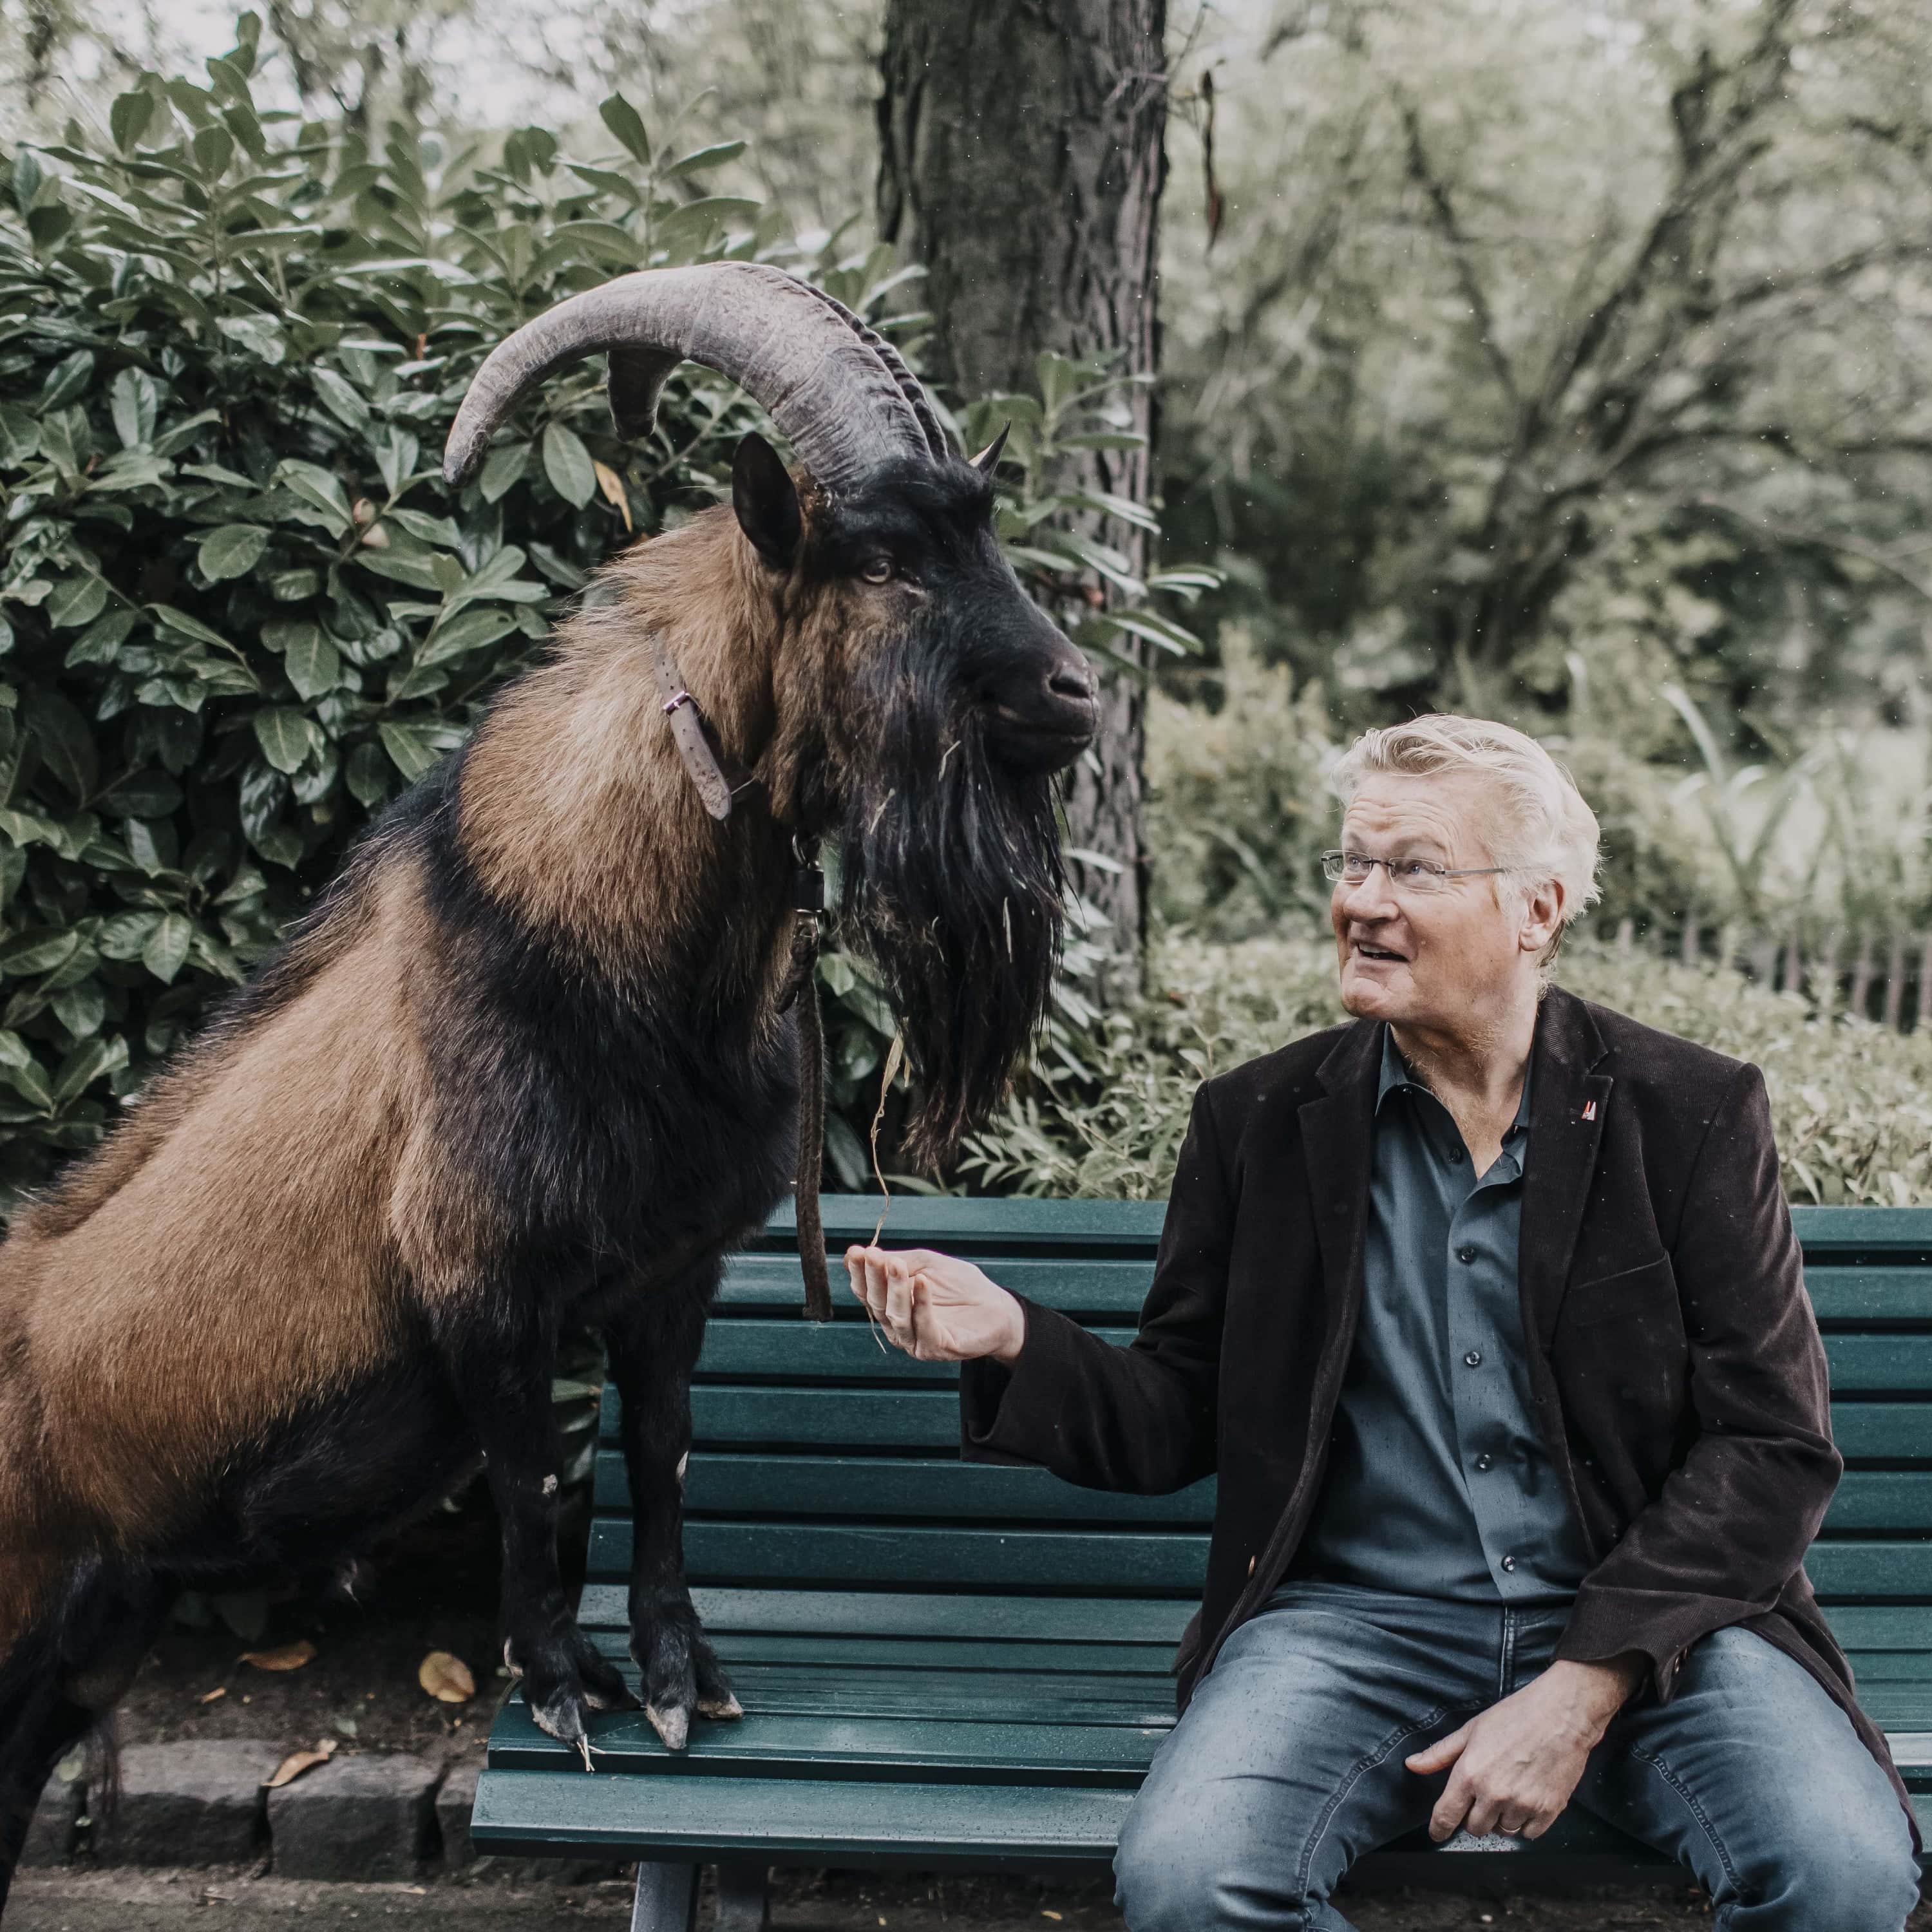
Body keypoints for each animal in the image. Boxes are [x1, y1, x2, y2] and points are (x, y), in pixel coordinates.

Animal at [0, 262, 1098, 1907]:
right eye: (886, 555)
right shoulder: (480, 1280)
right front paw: (565, 1691)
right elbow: (527, 1484)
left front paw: (680, 1679)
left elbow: (660, 1453)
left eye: (981, 519)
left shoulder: (671, 1273)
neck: (612, 960)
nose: (1073, 693)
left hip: (83, 1640)